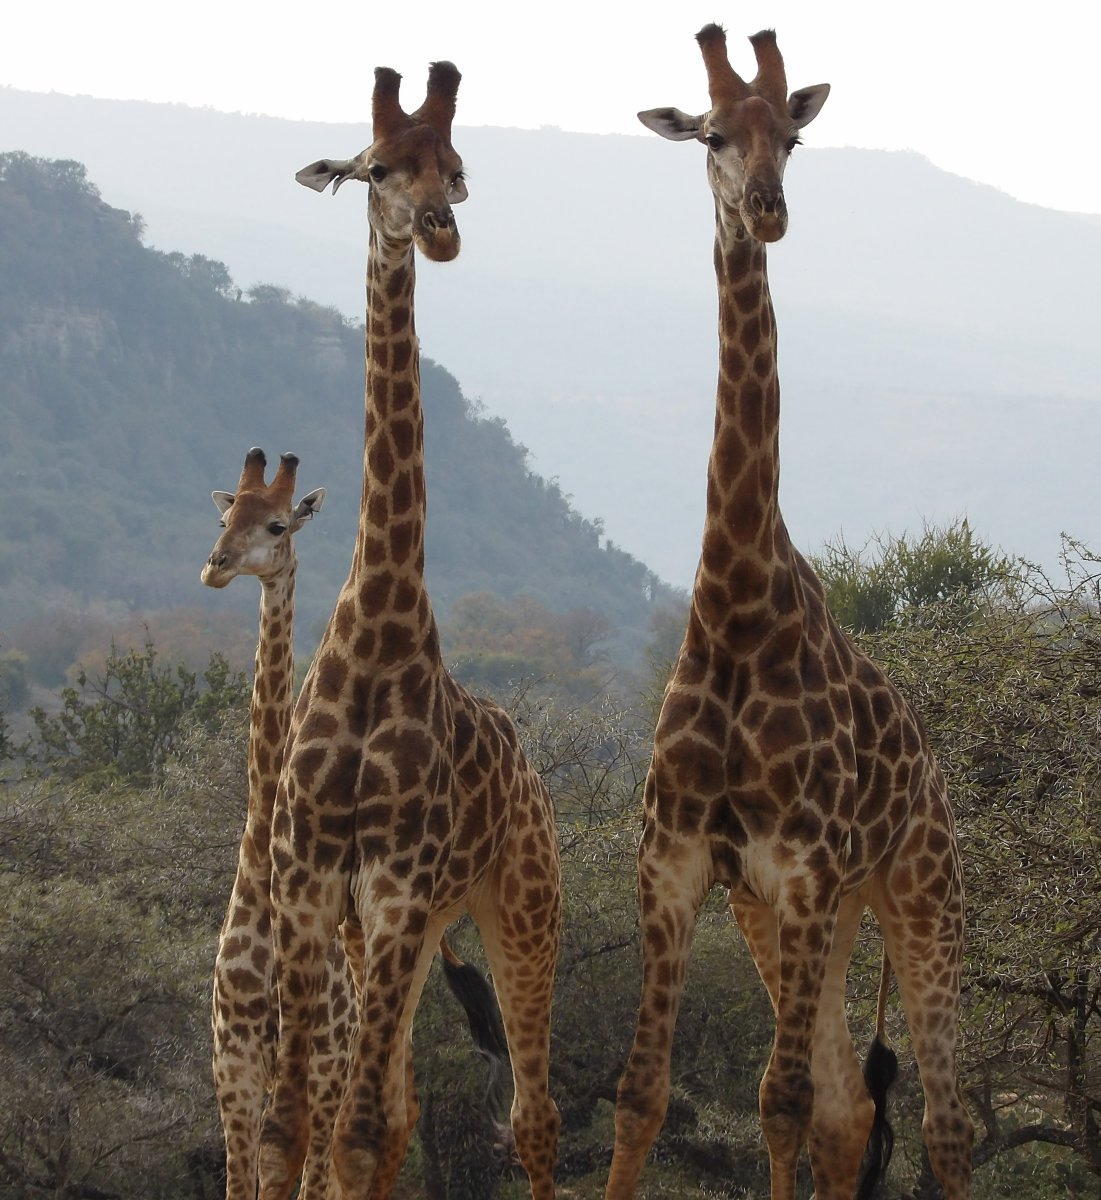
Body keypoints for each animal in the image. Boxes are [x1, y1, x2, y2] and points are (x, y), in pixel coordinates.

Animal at [257, 63, 561, 1200]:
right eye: (376, 168)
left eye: (456, 169)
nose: (437, 230)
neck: (375, 639)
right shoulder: (311, 887)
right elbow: (294, 1128)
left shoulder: (393, 892)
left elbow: (342, 1132)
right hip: (411, 931)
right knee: (396, 1113)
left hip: (519, 906)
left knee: (534, 1116)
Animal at [606, 21, 978, 1200]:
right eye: (712, 135)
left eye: (797, 138)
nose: (766, 207)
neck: (734, 607)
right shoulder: (683, 865)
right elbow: (642, 1094)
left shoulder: (804, 870)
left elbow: (775, 1101)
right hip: (794, 911)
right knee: (851, 1108)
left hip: (915, 892)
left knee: (942, 1119)